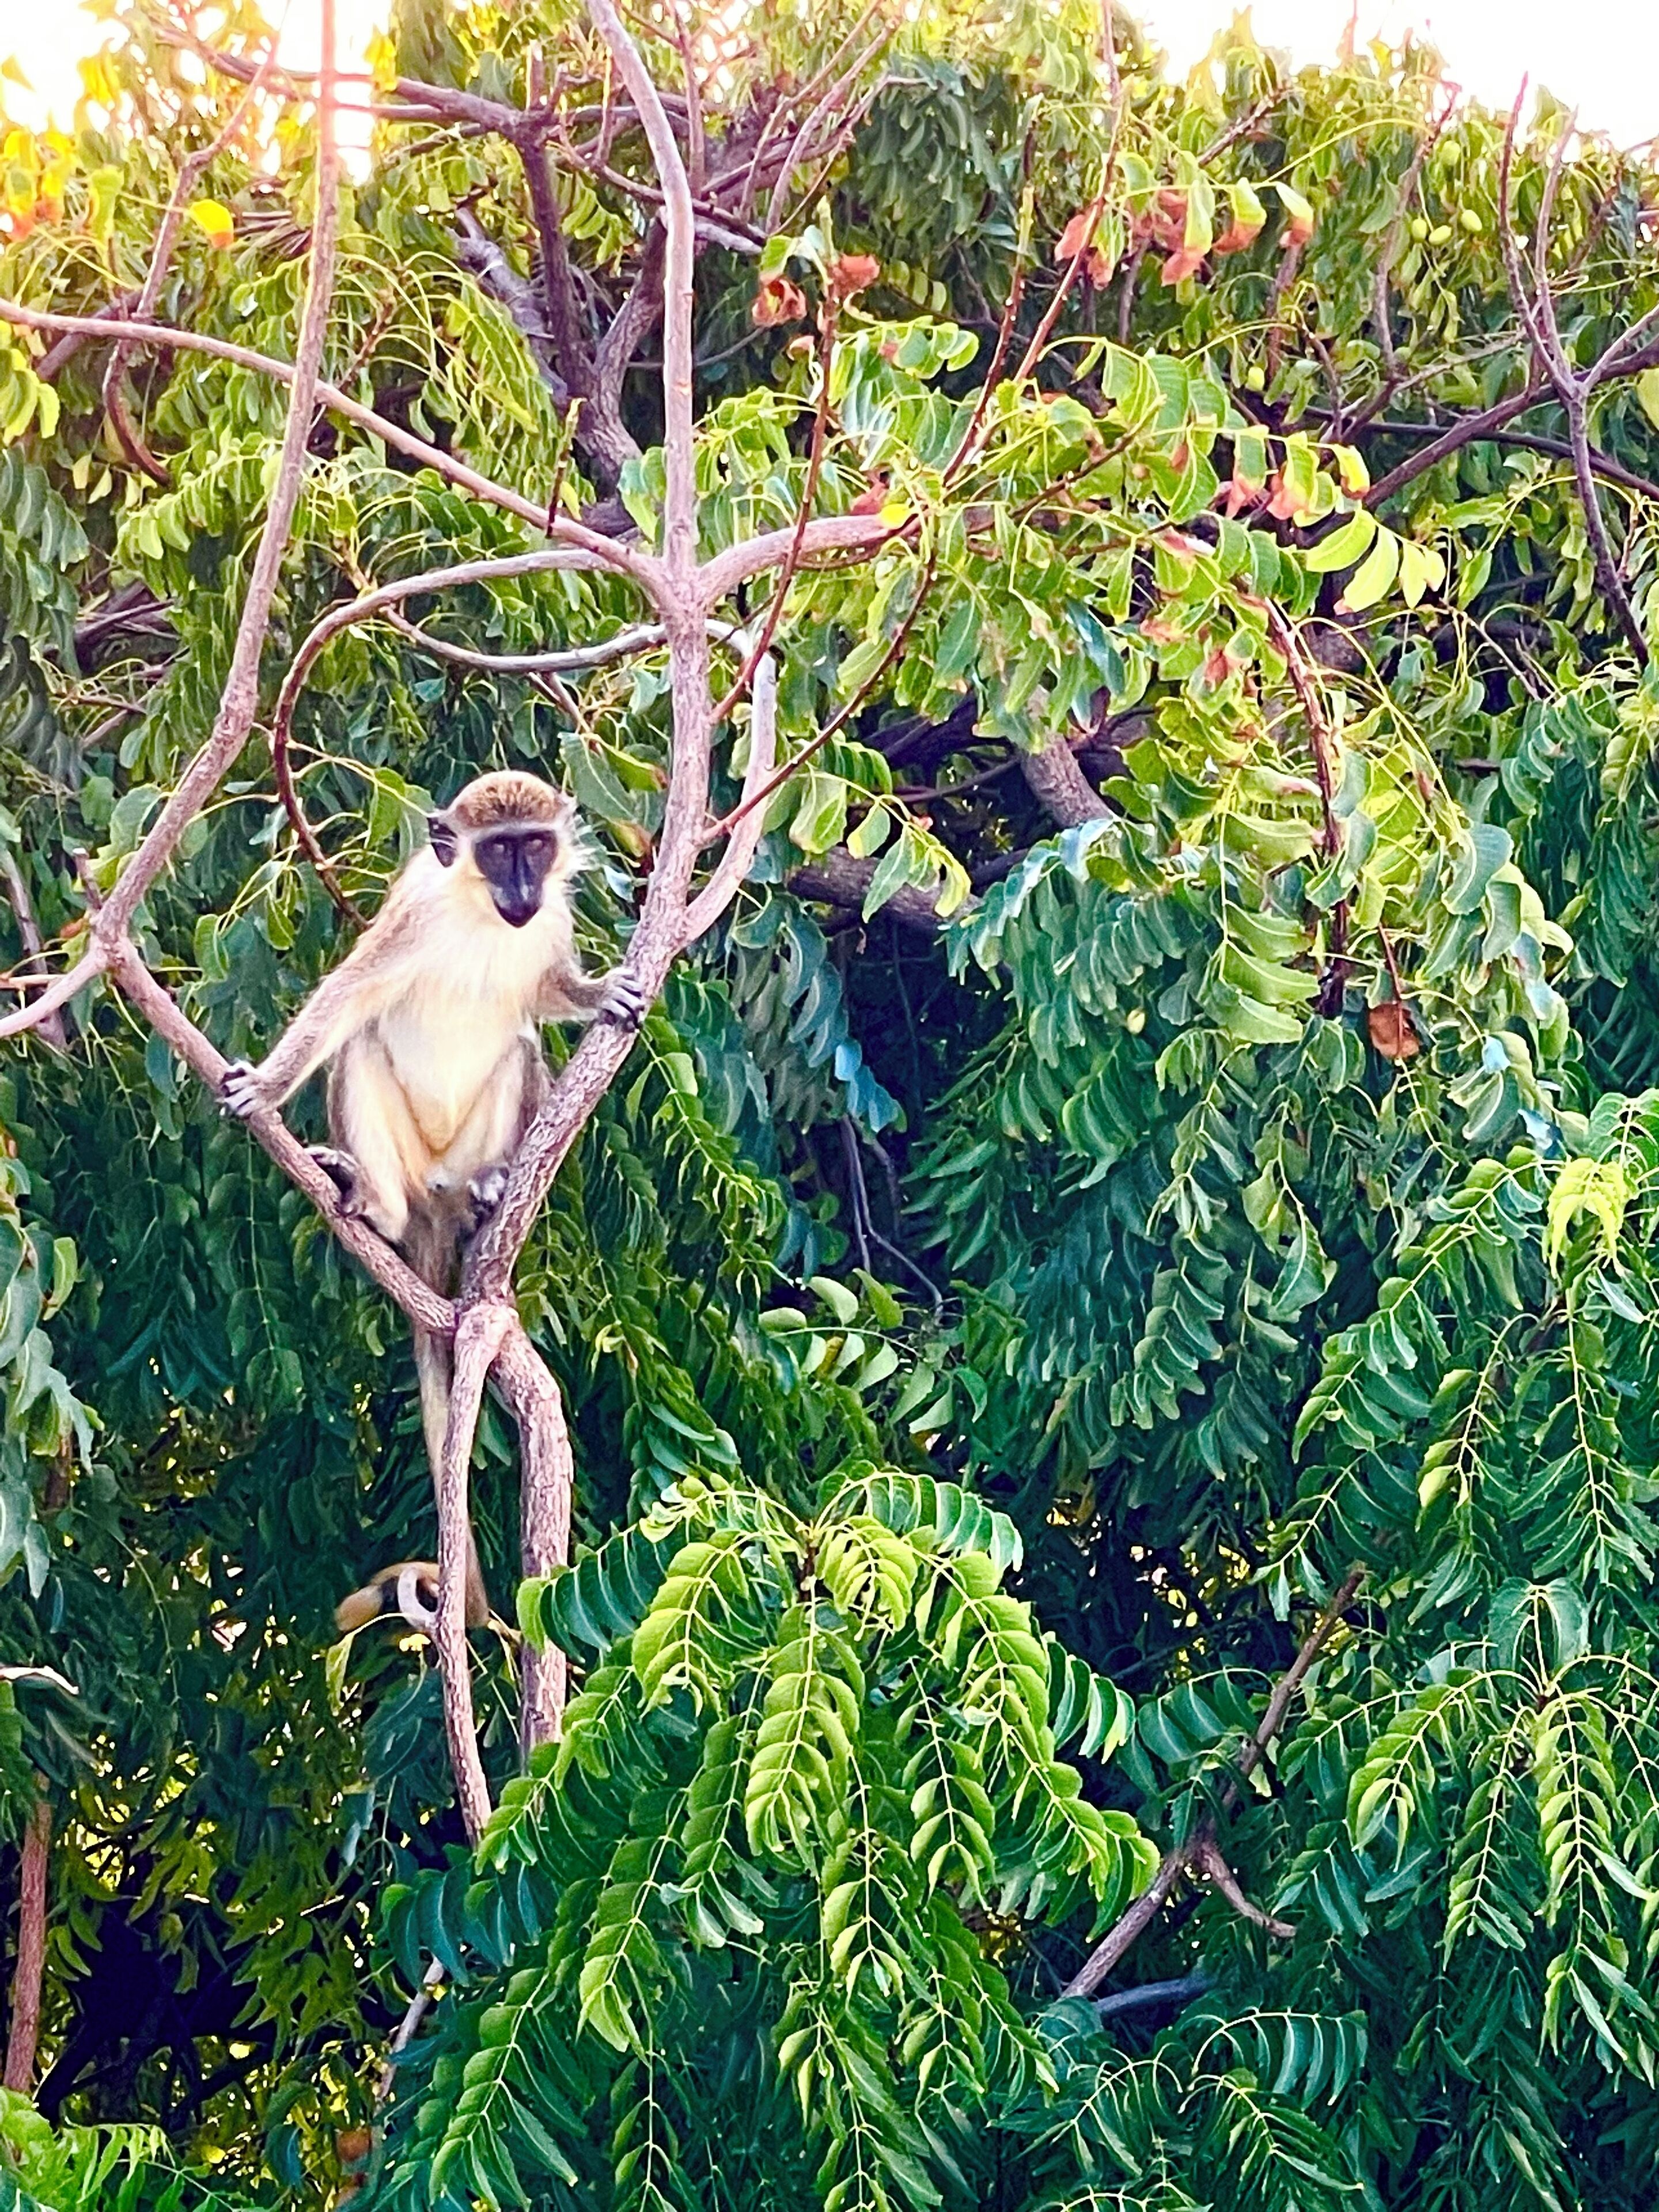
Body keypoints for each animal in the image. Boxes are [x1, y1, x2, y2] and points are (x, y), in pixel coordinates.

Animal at [220, 771, 643, 1636]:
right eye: (498, 850)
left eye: (535, 846)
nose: (522, 889)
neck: (480, 914)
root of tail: (434, 1206)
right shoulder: (414, 909)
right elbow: (347, 999)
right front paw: (269, 1086)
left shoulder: (551, 920)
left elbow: (544, 992)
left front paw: (594, 992)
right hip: (414, 1166)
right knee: (361, 1044)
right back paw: (377, 1205)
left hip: (468, 1149)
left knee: (520, 1049)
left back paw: (491, 1192)